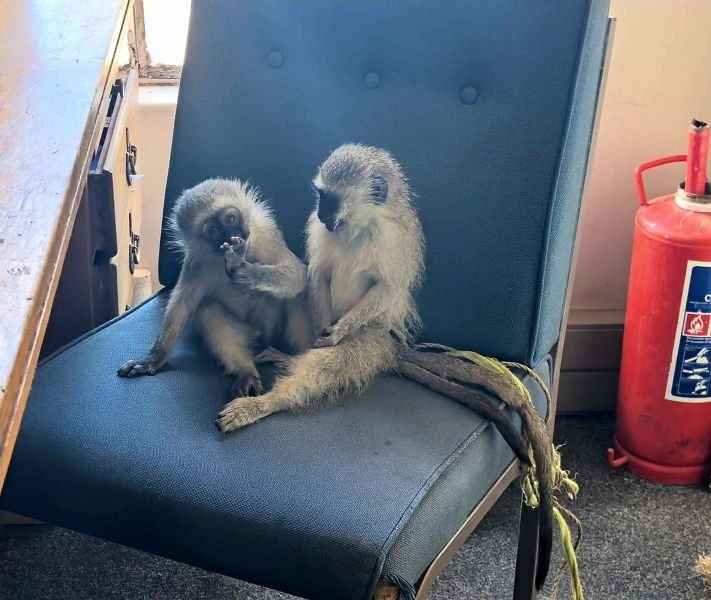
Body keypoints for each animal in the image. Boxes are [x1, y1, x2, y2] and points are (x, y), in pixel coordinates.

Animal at [117, 178, 313, 397]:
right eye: (213, 231)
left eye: (230, 219)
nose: (233, 236)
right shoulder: (196, 262)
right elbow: (182, 307)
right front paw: (154, 358)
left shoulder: (266, 236)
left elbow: (298, 275)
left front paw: (243, 271)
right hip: (247, 332)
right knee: (208, 309)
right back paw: (245, 370)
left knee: (298, 295)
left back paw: (295, 360)